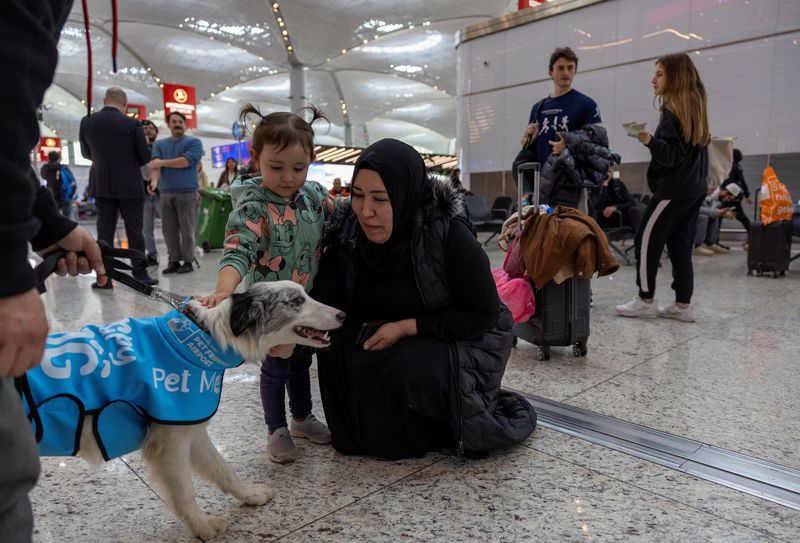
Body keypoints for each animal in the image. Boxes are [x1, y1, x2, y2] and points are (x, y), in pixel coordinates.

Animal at [21, 280, 344, 540]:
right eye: (297, 300)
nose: (343, 314)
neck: (205, 337)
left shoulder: (193, 432)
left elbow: (223, 470)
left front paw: (249, 495)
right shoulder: (171, 442)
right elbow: (185, 492)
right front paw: (202, 527)